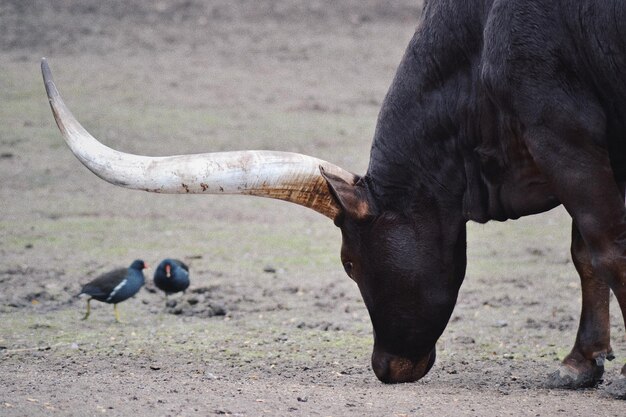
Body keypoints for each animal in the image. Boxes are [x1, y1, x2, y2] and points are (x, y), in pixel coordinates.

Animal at [42, 0, 624, 394]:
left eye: (348, 262)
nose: (385, 368)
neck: (478, 44)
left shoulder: (565, 139)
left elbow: (606, 252)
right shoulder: (575, 147)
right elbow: (585, 254)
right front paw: (580, 364)